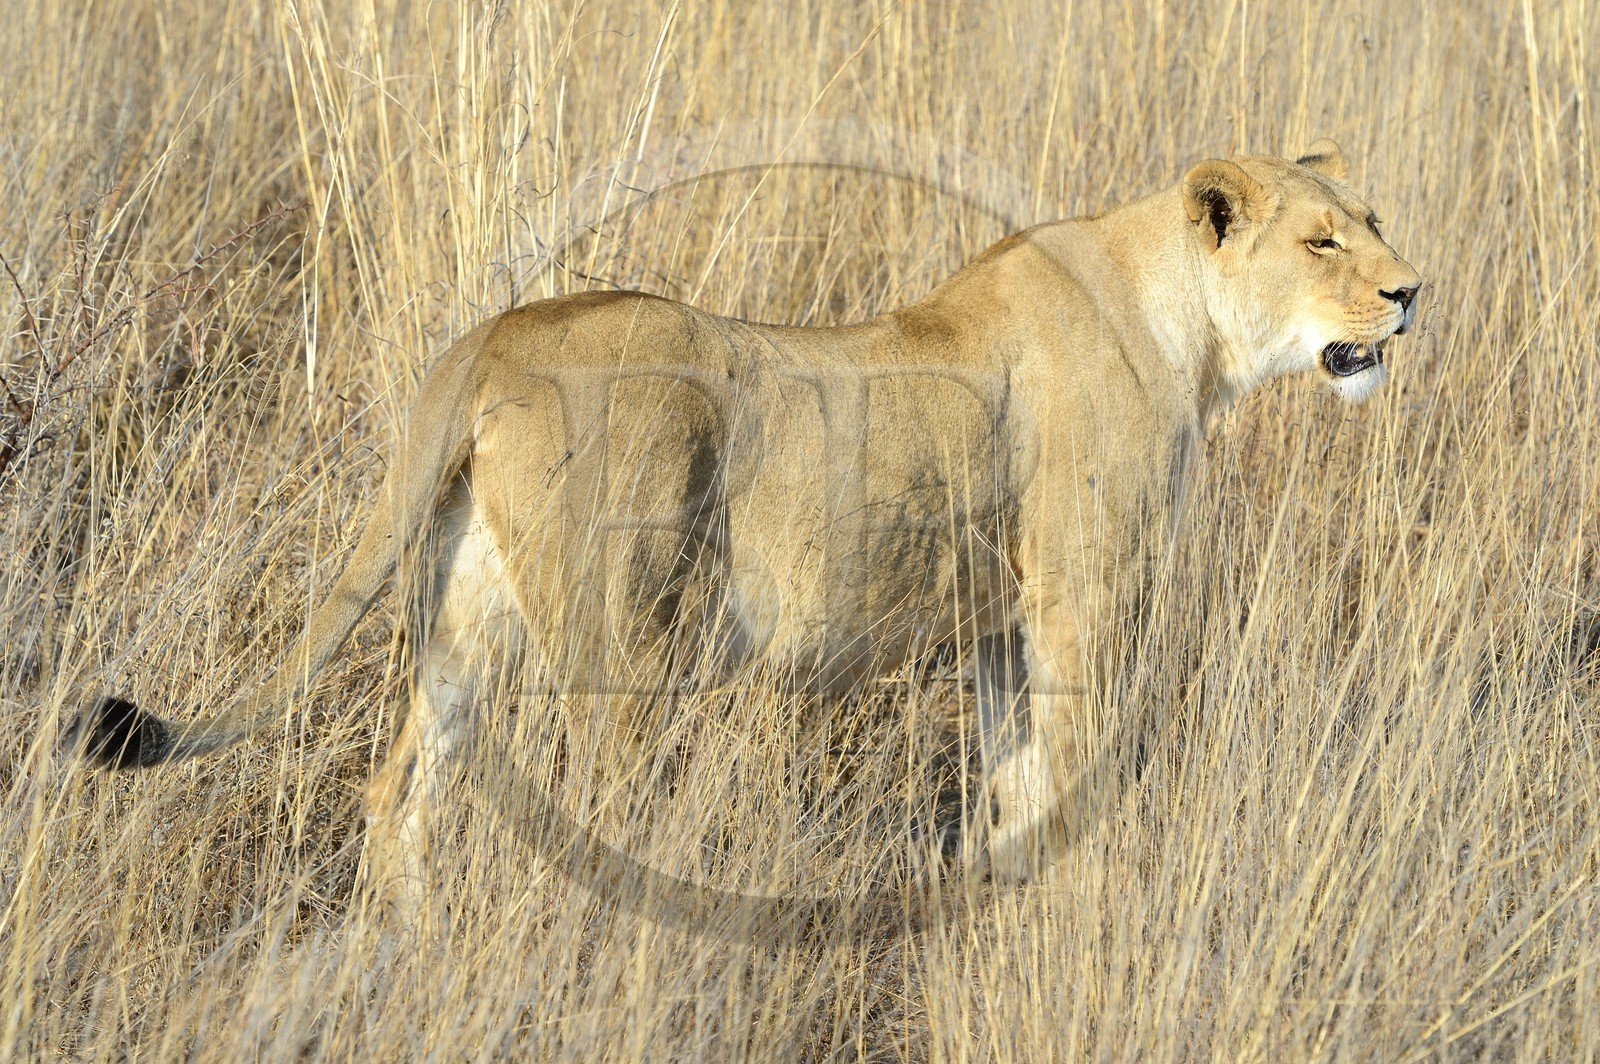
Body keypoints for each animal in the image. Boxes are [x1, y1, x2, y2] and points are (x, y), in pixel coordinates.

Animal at [75, 141, 1421, 901]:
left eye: (1372, 221)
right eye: (1321, 239)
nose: (1411, 292)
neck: (1188, 331)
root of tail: (494, 334)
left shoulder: (995, 617)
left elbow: (1018, 773)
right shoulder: (1078, 592)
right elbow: (1077, 761)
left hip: (466, 613)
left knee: (399, 789)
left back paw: (396, 955)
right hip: (623, 640)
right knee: (598, 804)